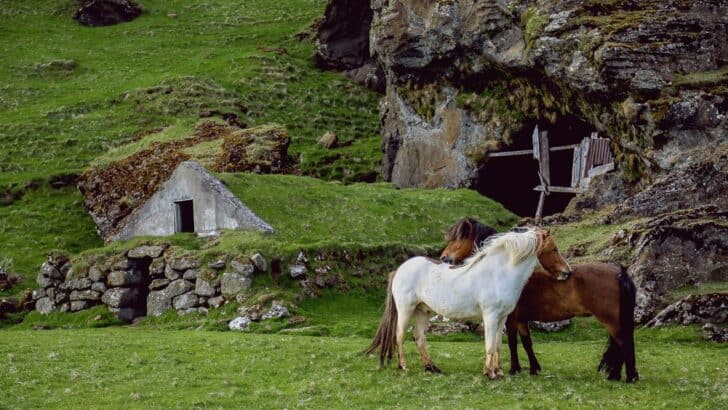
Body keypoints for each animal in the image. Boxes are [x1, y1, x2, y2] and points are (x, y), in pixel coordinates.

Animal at [365, 228, 572, 379]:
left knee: (419, 337)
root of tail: (399, 269)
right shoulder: (490, 316)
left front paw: (498, 371)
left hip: (423, 312)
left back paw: (432, 367)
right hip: (405, 310)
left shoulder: (502, 318)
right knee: (400, 336)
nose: (567, 272)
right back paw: (403, 366)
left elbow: (498, 344)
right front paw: (489, 373)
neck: (499, 274)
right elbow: (489, 345)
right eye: (554, 249)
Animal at [440, 218, 639, 383]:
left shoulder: (511, 319)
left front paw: (514, 369)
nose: (443, 258)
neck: (505, 271)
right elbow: (526, 342)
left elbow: (512, 342)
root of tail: (619, 271)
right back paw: (615, 375)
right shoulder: (520, 320)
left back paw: (630, 377)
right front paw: (533, 368)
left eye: (457, 239)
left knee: (624, 342)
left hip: (610, 320)